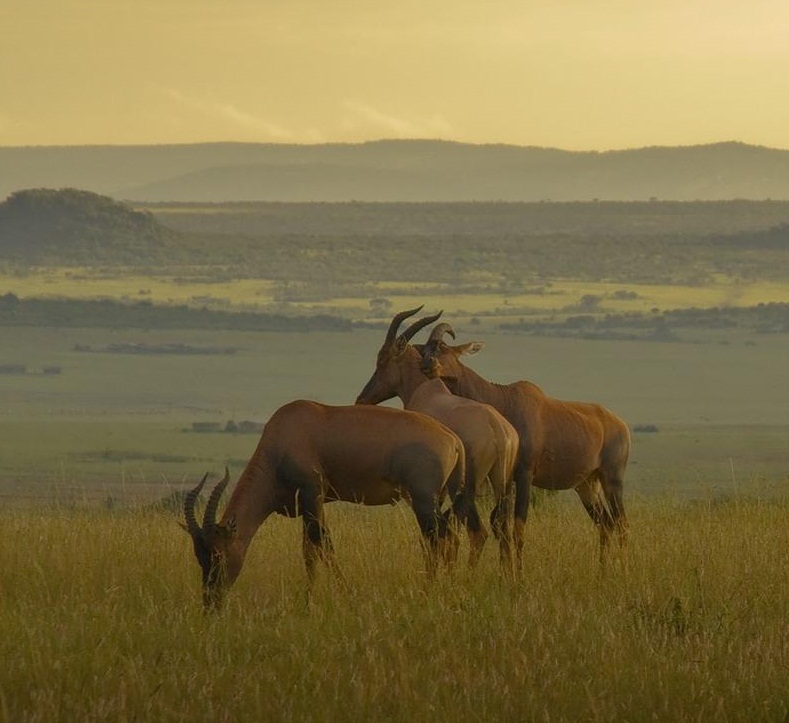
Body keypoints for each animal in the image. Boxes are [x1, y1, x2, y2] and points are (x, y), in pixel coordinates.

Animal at [183, 398, 468, 608]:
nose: (211, 603)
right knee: (441, 539)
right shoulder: (307, 505)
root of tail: (452, 439)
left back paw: (432, 591)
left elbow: (324, 545)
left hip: (423, 501)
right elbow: (309, 551)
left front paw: (345, 593)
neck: (286, 433)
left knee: (443, 538)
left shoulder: (313, 496)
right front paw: (308, 600)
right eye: (199, 555)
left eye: (218, 553)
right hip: (433, 500)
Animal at [356, 310, 516, 576]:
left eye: (382, 360)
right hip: (501, 483)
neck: (427, 389)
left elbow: (432, 536)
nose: (361, 399)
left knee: (477, 532)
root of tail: (498, 432)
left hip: (467, 488)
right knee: (502, 528)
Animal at [418, 324, 628, 572]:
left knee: (622, 523)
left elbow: (518, 525)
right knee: (606, 523)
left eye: (443, 348)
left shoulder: (525, 474)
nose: (427, 365)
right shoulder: (507, 478)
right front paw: (506, 571)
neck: (506, 400)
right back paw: (603, 571)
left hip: (612, 479)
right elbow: (500, 523)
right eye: (425, 350)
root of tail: (621, 425)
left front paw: (518, 574)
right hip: (586, 485)